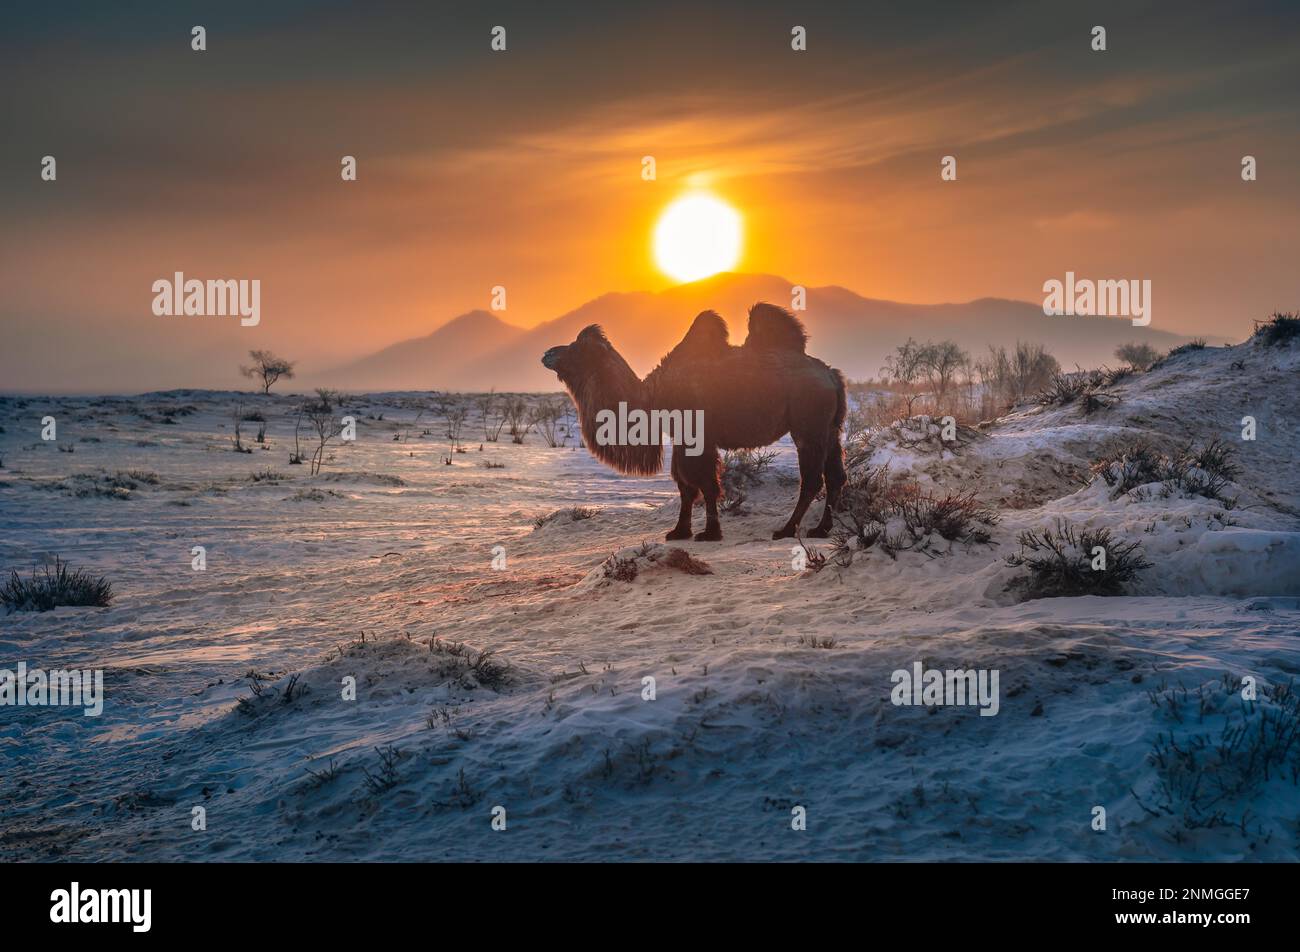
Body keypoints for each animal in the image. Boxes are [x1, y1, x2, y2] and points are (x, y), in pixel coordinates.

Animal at [541, 303, 847, 541]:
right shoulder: (681, 438)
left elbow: (706, 484)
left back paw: (786, 530)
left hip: (808, 424)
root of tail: (831, 375)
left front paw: (709, 533)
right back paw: (821, 529)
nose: (547, 353)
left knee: (811, 479)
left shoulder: (696, 437)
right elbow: (686, 487)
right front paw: (679, 532)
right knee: (835, 476)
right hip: (830, 428)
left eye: (576, 347)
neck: (650, 397)